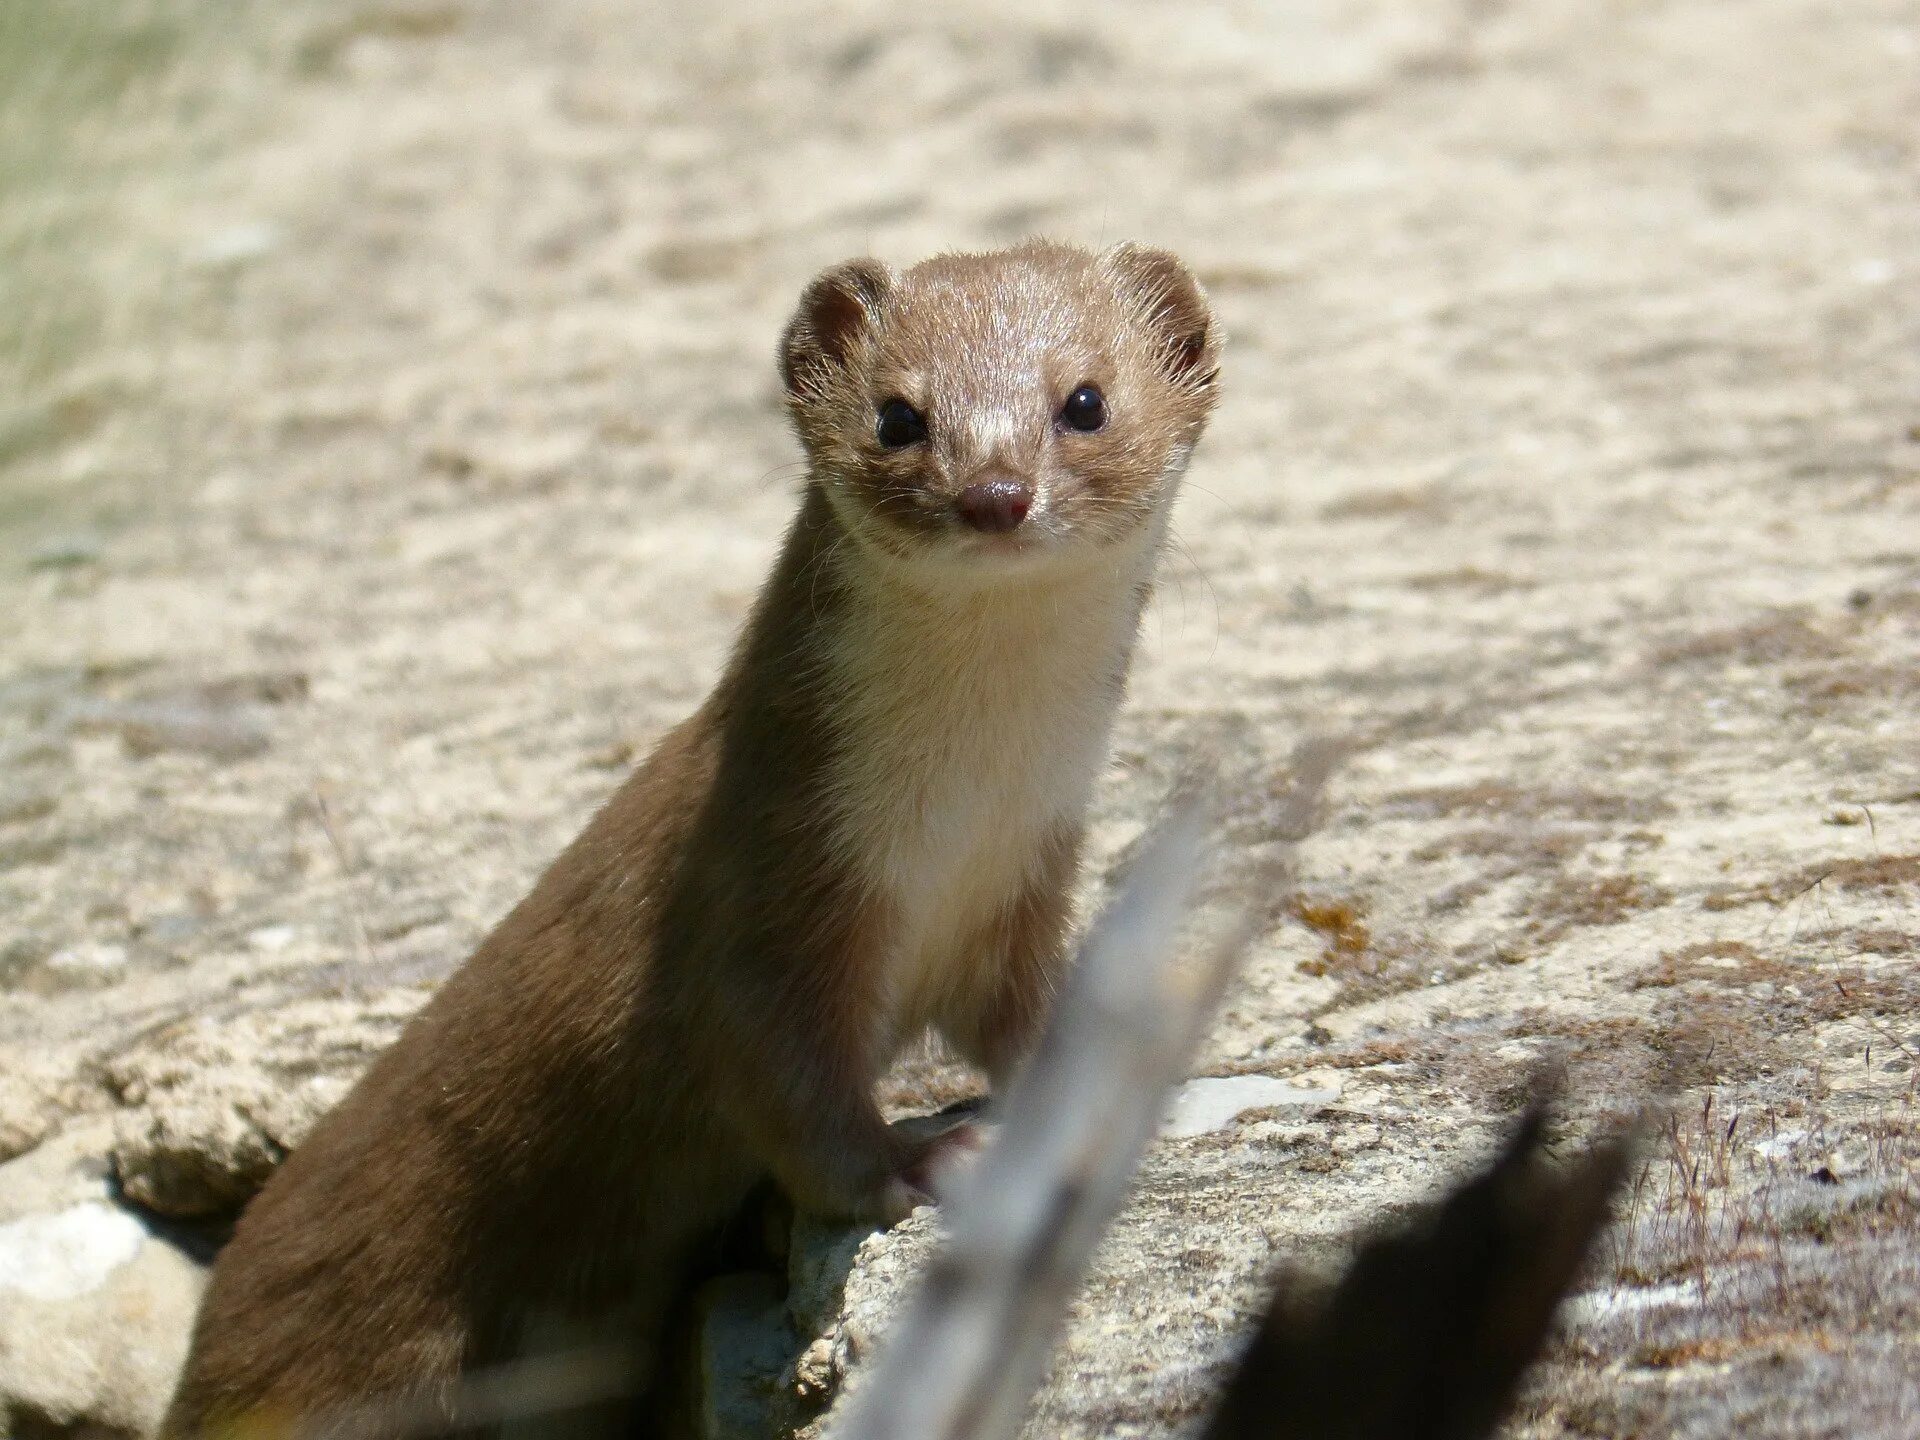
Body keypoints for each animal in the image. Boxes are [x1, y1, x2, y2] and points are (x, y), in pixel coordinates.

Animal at [161, 242, 1213, 1436]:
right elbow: (785, 1086)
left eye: (1084, 400)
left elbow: (1029, 1020)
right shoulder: (763, 884)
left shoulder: (1025, 875)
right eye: (899, 416)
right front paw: (926, 1156)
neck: (958, 811)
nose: (994, 493)